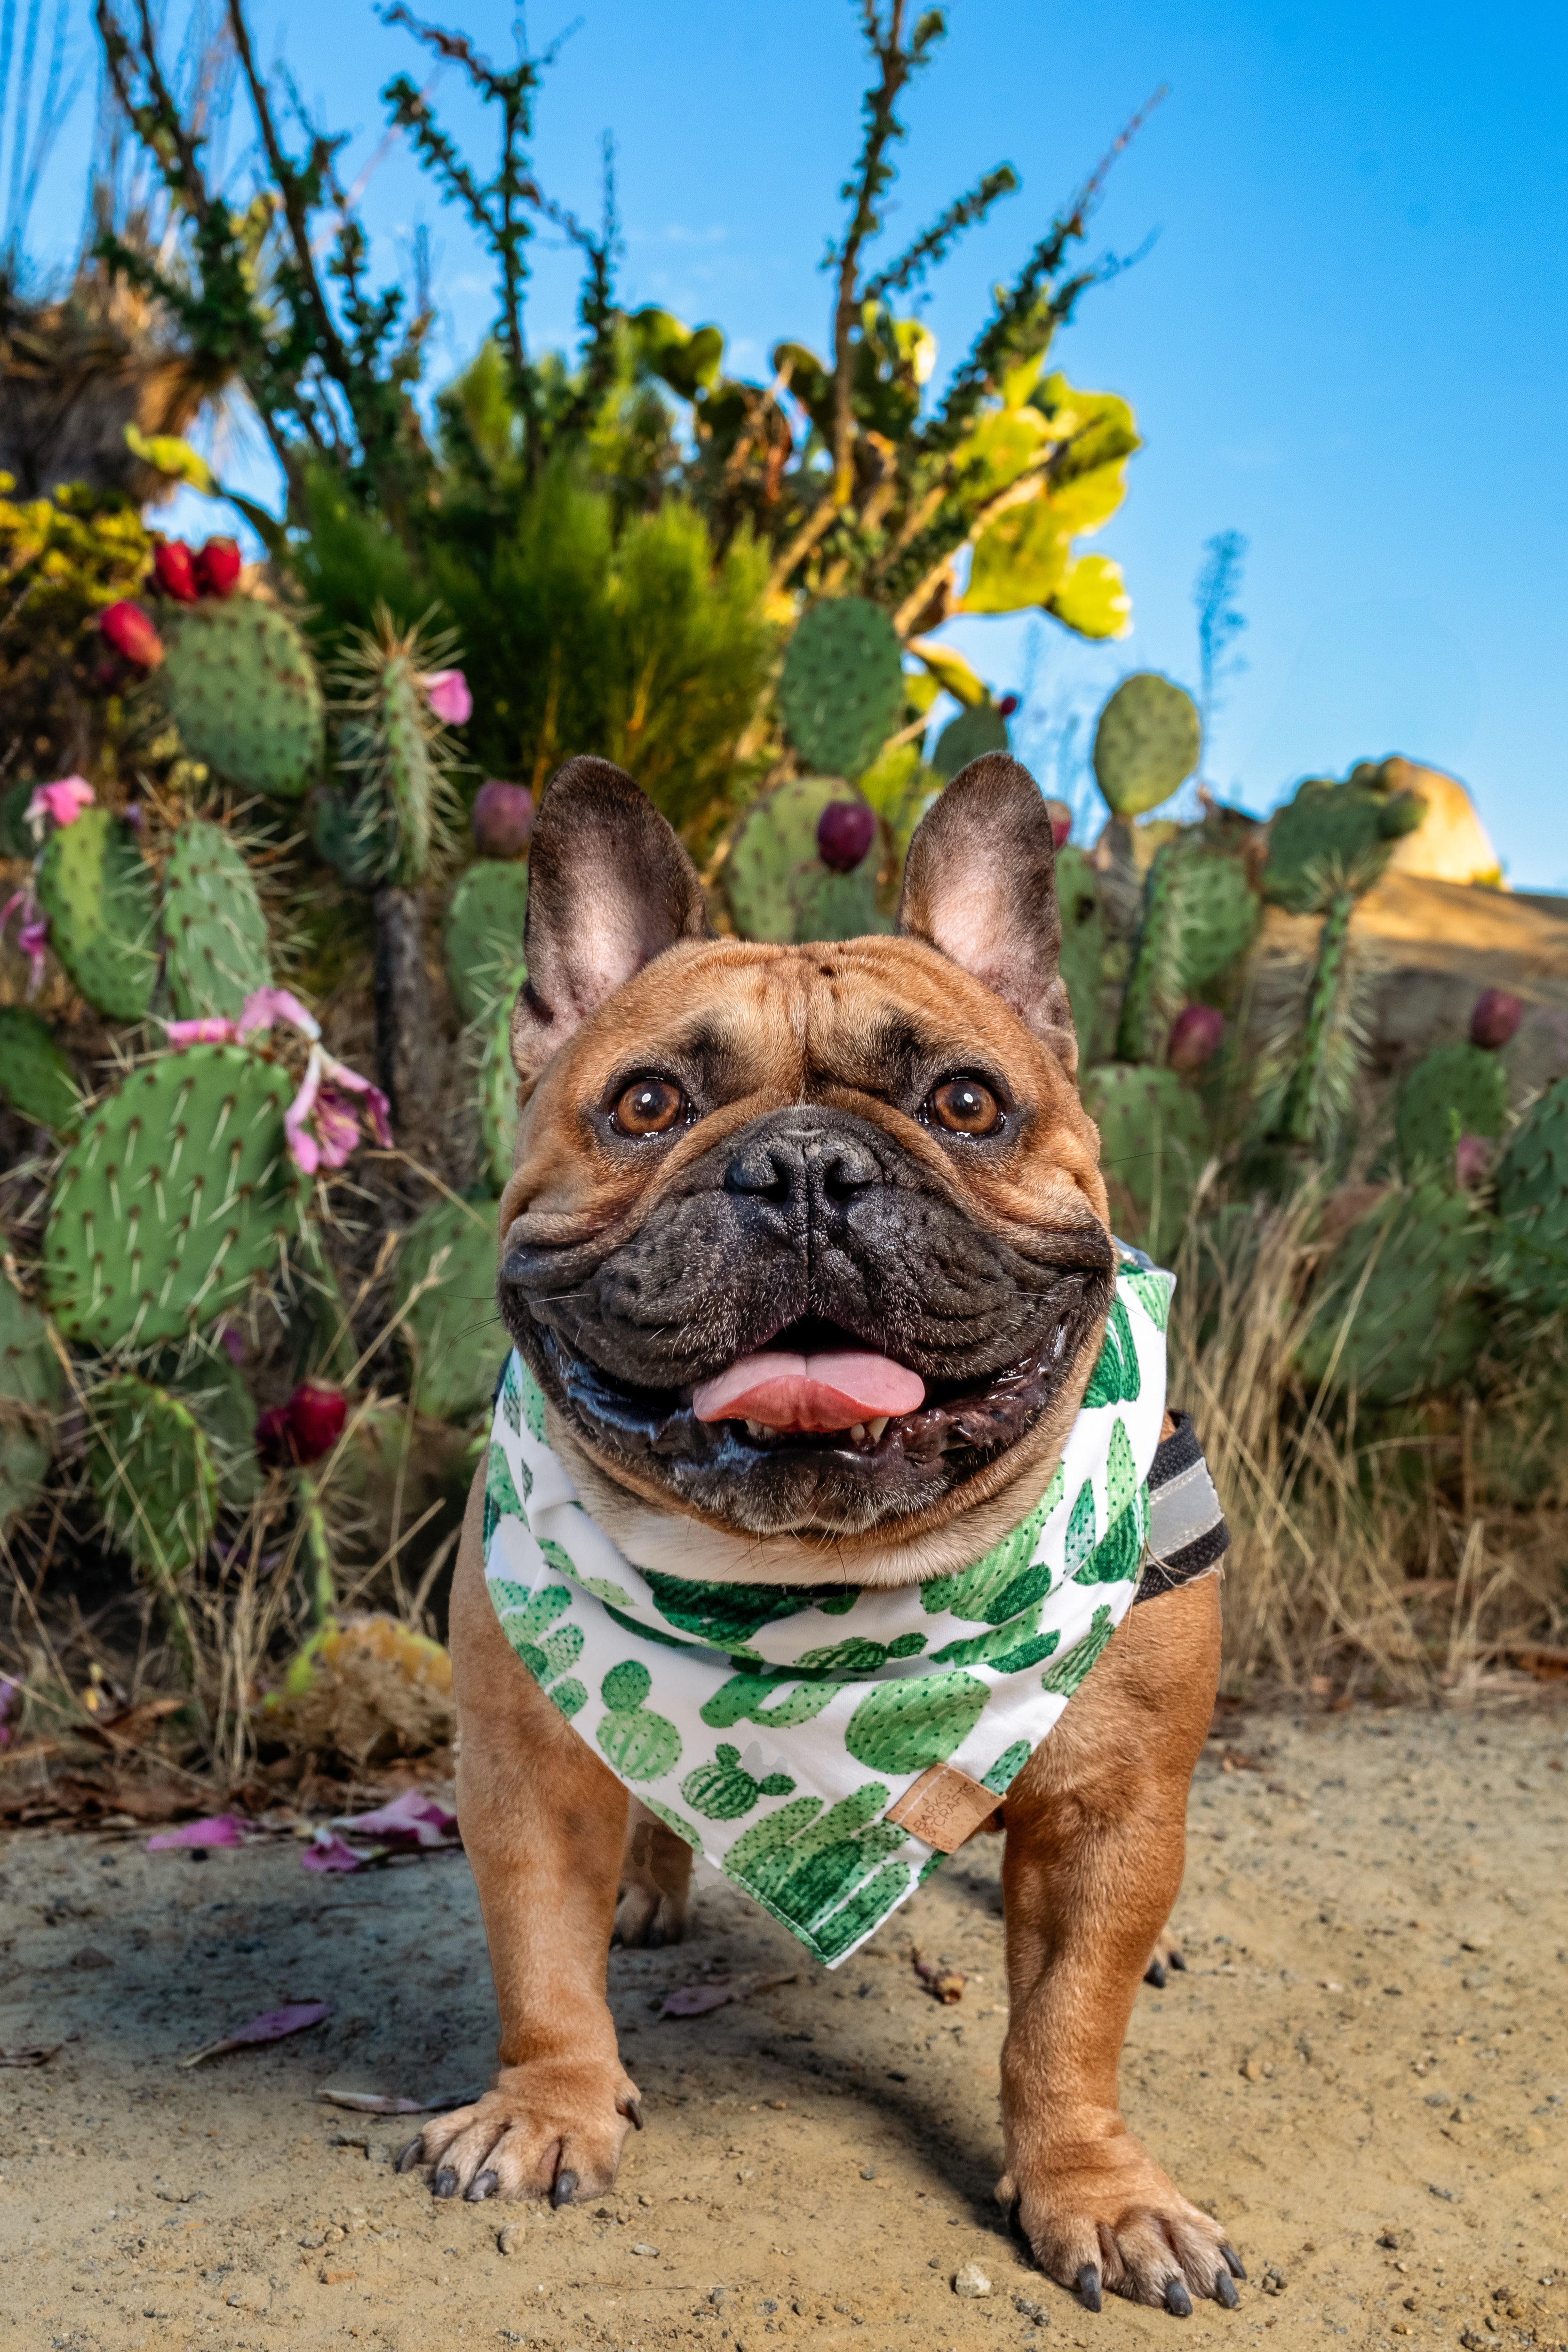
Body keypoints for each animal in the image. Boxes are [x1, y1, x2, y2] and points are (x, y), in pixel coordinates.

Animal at [402, 753, 1241, 2314]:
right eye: (647, 1102)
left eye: (966, 1101)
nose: (799, 1169)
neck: (815, 1594)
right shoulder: (524, 1764)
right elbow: (538, 1954)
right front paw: (547, 2108)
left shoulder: (1113, 1807)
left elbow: (1066, 2021)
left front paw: (1095, 2190)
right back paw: (649, 1887)